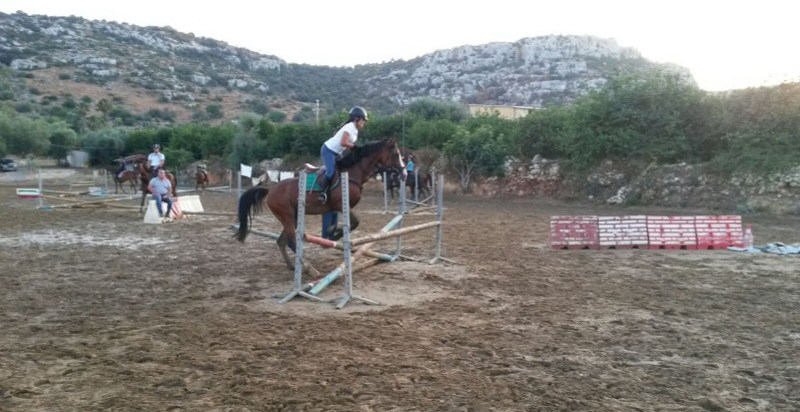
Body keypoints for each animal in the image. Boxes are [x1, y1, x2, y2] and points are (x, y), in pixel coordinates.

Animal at [235, 138, 406, 273]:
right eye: (396, 155)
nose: (404, 173)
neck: (353, 173)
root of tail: (270, 190)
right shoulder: (340, 205)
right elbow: (355, 222)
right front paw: (334, 234)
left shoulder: (338, 208)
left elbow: (349, 223)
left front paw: (332, 232)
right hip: (287, 216)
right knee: (291, 241)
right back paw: (308, 268)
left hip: (293, 216)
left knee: (281, 241)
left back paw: (293, 266)